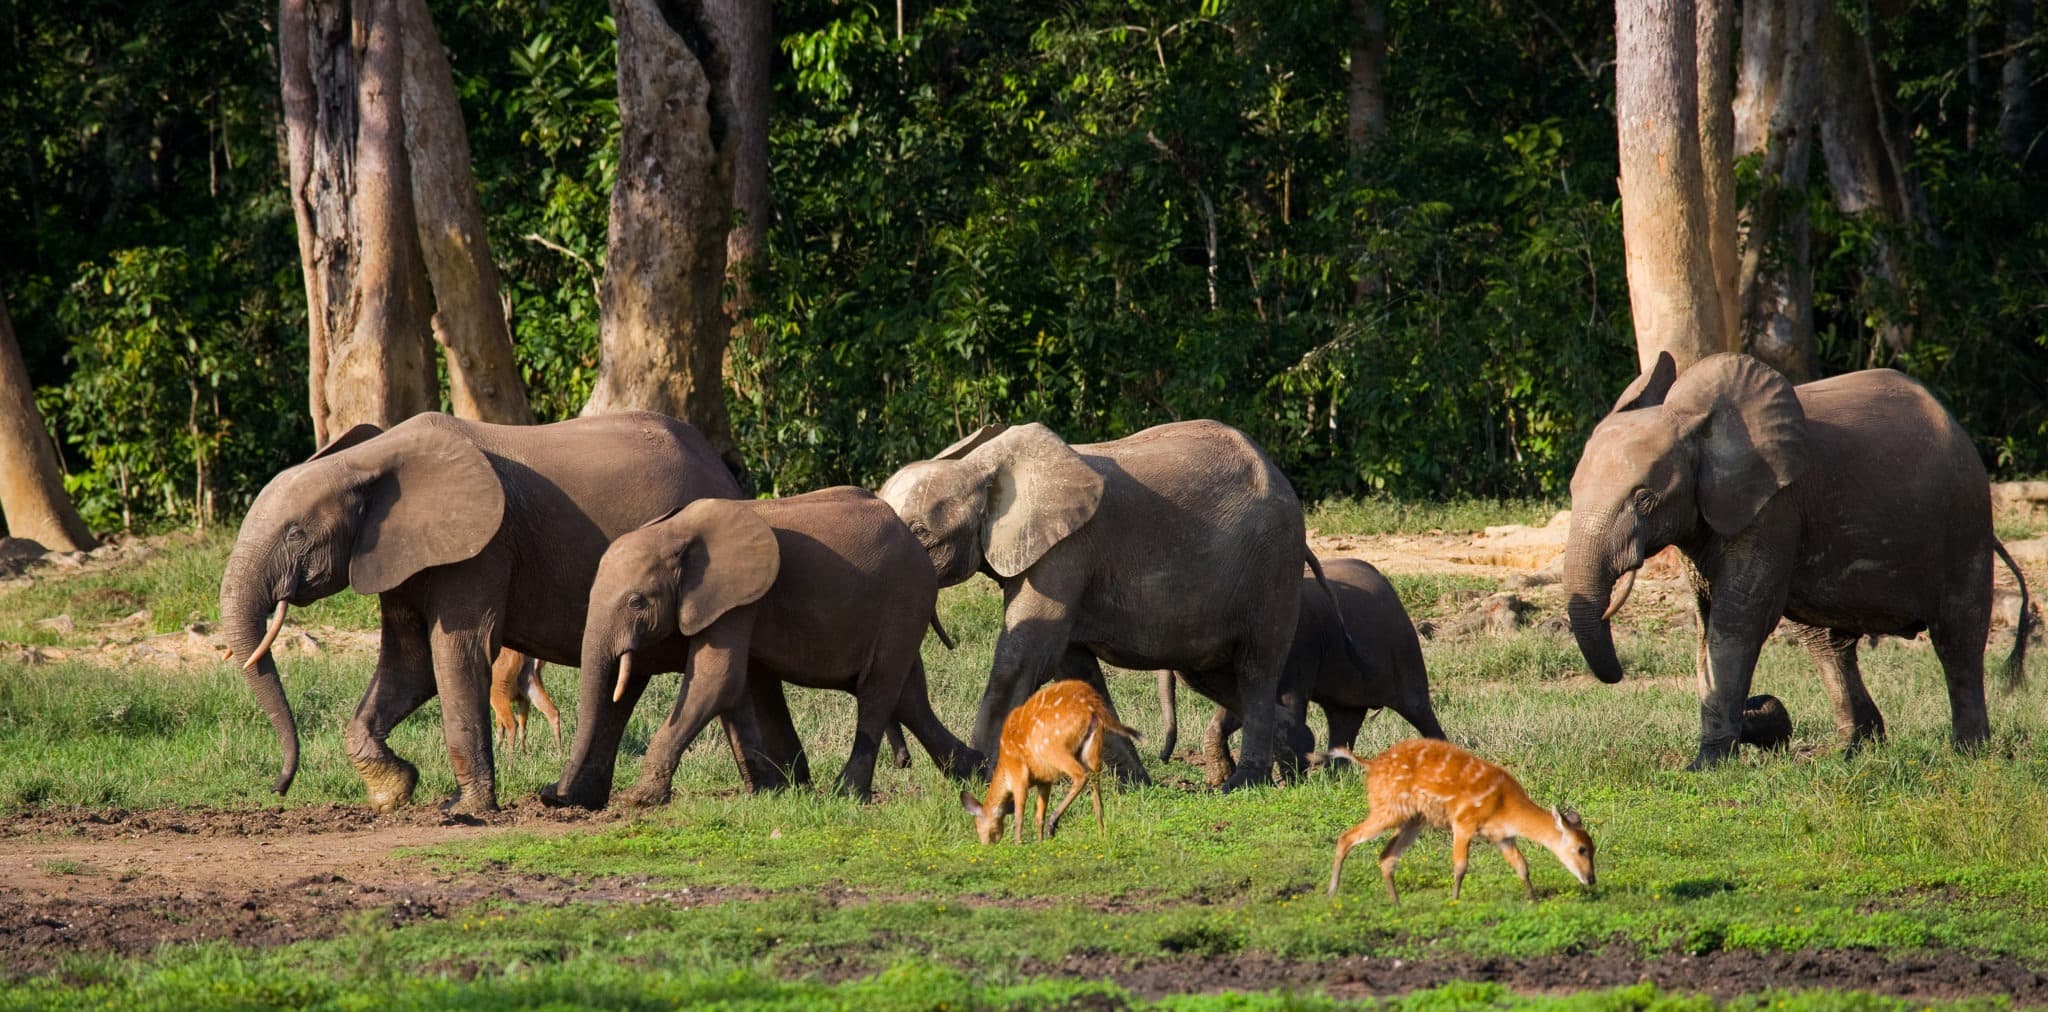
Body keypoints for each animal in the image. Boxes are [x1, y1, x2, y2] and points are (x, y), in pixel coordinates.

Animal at [219, 411, 739, 813]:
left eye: (295, 534)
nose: (278, 786)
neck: (372, 460)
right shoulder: (401, 555)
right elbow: (410, 664)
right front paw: (392, 794)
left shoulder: (482, 548)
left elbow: (457, 652)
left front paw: (464, 811)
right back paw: (576, 802)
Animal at [547, 486, 982, 809]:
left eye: (637, 601)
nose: (552, 794)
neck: (676, 531)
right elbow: (734, 687)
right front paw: (769, 791)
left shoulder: (735, 598)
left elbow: (715, 679)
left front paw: (639, 799)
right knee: (908, 696)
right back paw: (976, 771)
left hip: (906, 600)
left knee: (877, 692)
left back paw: (845, 795)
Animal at [878, 419, 1345, 791]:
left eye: (921, 532)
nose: (903, 763)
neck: (981, 464)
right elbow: (1072, 664)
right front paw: (1136, 787)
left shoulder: (1065, 550)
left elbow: (1028, 655)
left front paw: (983, 778)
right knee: (1211, 674)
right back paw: (1297, 758)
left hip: (1272, 566)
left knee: (1257, 667)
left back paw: (1244, 783)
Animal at [1163, 556, 1447, 785]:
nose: (1163, 758)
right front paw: (1221, 780)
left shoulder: (1298, 647)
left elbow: (1287, 700)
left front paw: (1290, 780)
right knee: (1344, 718)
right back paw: (1335, 776)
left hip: (1403, 652)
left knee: (1417, 708)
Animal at [1563, 352, 2034, 769]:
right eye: (1572, 490)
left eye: (1644, 498)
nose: (1765, 707)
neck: (1696, 424)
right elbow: (1705, 624)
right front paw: (1753, 728)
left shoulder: (1774, 508)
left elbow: (1737, 620)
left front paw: (1708, 763)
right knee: (1826, 643)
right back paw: (1851, 751)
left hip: (1965, 523)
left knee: (1957, 635)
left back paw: (1967, 753)